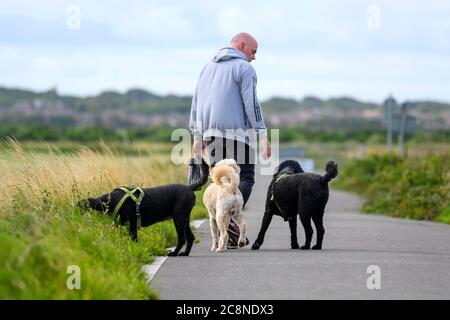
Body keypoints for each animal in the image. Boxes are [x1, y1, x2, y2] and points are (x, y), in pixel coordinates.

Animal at [78, 159, 209, 256]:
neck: (110, 200)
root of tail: (190, 187)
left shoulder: (132, 224)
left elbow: (134, 239)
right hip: (184, 218)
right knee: (190, 237)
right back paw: (185, 253)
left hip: (179, 218)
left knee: (182, 238)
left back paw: (174, 253)